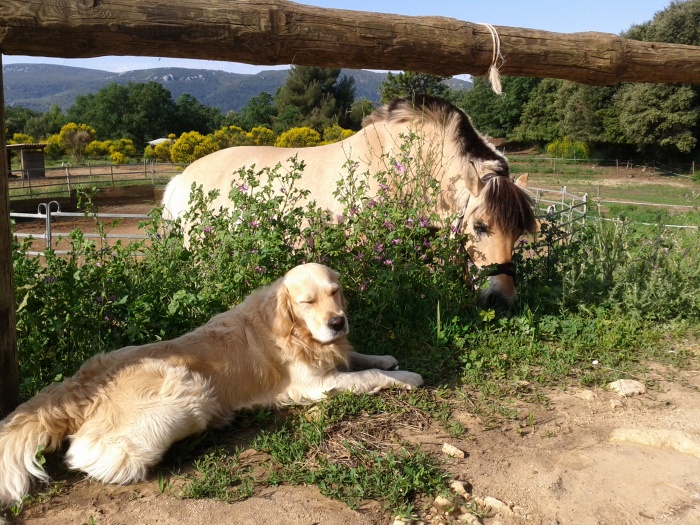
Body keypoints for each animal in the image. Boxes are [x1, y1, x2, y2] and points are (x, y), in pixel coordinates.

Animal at [0, 262, 422, 508]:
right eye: (307, 301)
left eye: (335, 293)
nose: (337, 322)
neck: (295, 330)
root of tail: (79, 383)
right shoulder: (313, 385)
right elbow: (367, 376)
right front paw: (407, 376)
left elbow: (361, 359)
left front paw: (386, 357)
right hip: (189, 391)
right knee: (93, 456)